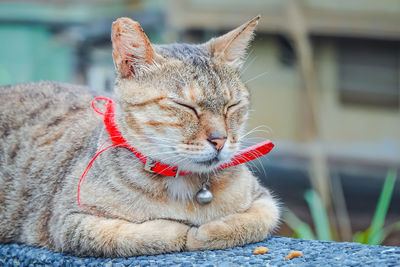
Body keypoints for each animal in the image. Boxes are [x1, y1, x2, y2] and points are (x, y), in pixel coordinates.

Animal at [0, 16, 280, 258]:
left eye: (232, 106)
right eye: (185, 106)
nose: (220, 140)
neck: (183, 186)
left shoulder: (264, 201)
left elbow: (251, 222)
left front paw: (207, 230)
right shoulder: (71, 221)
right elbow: (139, 235)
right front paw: (183, 230)